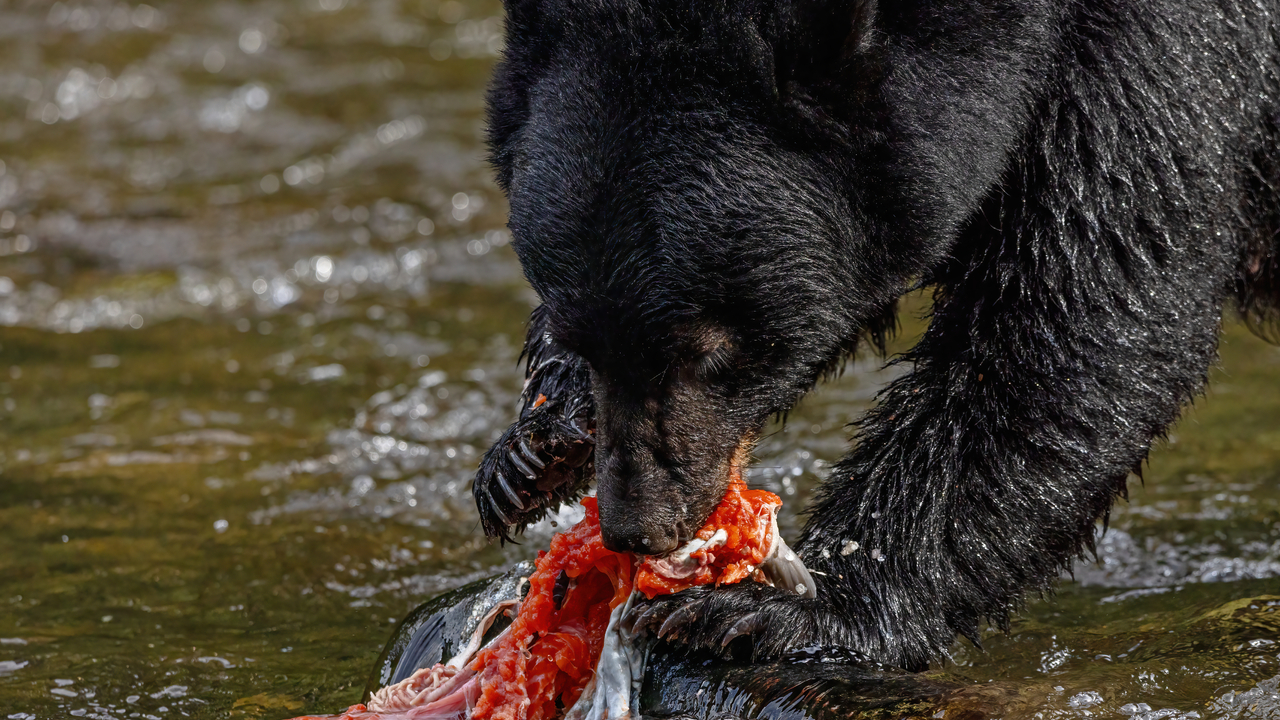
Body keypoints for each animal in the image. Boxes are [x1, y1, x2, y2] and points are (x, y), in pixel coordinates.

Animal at [471, 0, 1280, 671]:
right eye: (580, 335)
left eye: (713, 351)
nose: (640, 528)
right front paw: (534, 451)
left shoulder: (1153, 49)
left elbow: (1084, 310)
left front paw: (781, 610)